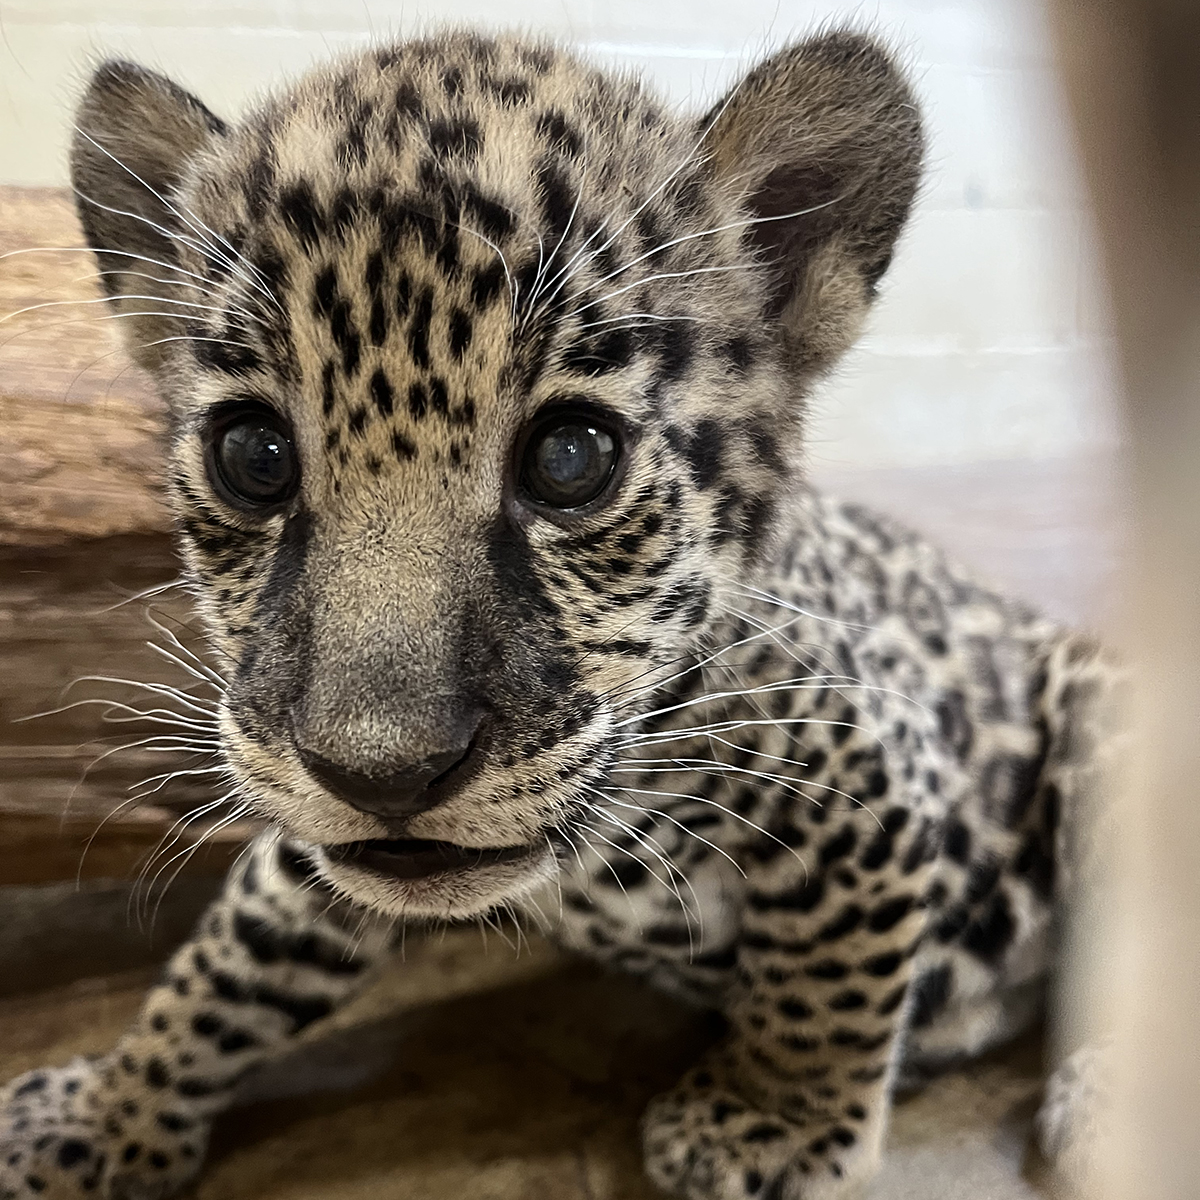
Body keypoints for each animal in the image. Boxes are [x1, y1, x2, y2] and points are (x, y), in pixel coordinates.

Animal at [0, 26, 1121, 1200]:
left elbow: (829, 970)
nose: (381, 774)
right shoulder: (313, 849)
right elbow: (226, 964)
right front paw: (105, 1111)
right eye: (254, 456)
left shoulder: (877, 770)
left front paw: (772, 1120)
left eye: (572, 459)